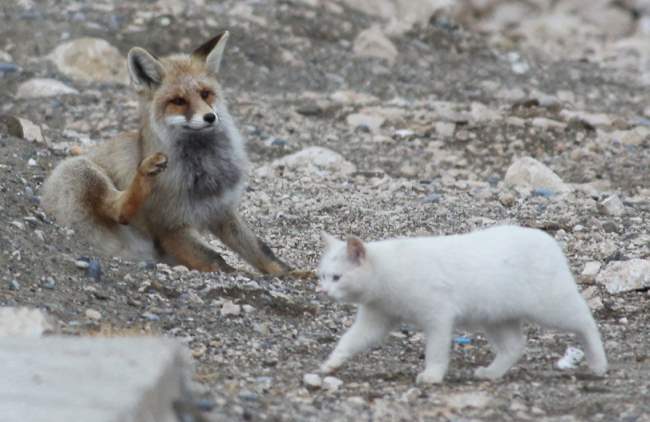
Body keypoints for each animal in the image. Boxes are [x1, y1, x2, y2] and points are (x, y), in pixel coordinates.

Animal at [41, 31, 290, 272]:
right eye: (178, 101)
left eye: (205, 94)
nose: (210, 117)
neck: (205, 171)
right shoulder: (170, 226)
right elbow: (216, 259)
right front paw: (237, 274)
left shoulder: (222, 211)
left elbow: (261, 250)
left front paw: (291, 274)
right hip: (80, 170)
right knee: (118, 211)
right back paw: (145, 173)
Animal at [316, 226, 604, 384]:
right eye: (322, 276)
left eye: (337, 278)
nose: (324, 291)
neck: (387, 272)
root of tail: (548, 239)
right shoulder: (376, 317)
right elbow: (350, 340)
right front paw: (331, 363)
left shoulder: (438, 316)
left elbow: (435, 351)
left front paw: (432, 375)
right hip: (497, 317)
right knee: (514, 347)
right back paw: (491, 373)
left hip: (551, 306)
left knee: (586, 321)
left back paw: (598, 362)